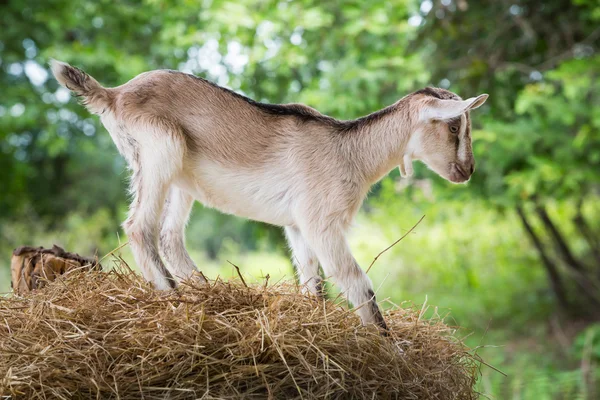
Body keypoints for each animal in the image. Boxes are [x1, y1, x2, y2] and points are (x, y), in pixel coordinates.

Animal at [50, 61, 488, 332]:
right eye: (453, 126)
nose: (468, 170)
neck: (350, 150)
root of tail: (115, 93)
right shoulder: (321, 222)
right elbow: (357, 283)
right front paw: (390, 349)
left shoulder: (298, 226)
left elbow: (313, 284)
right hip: (161, 153)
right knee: (139, 228)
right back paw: (175, 300)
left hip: (177, 178)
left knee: (170, 237)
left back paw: (206, 292)